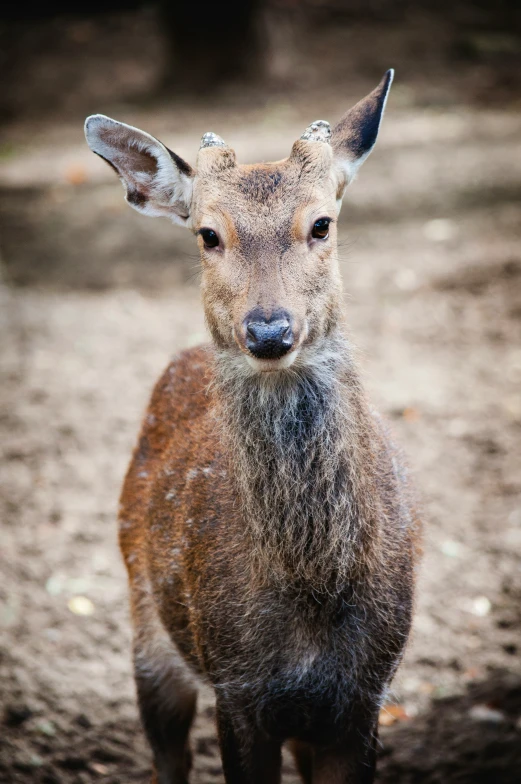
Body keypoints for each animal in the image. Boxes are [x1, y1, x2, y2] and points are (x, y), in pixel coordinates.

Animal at [84, 70, 418, 780]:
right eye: (208, 234)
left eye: (322, 223)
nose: (269, 330)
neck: (312, 595)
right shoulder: (235, 689)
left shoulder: (365, 696)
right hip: (147, 627)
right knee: (168, 754)